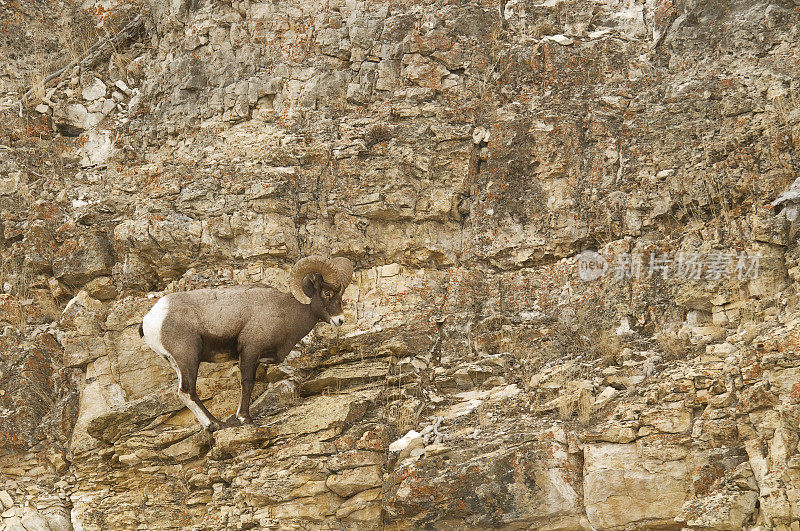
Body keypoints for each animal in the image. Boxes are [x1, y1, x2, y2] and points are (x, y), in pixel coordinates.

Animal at [138, 256, 354, 432]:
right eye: (326, 292)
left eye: (341, 294)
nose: (340, 320)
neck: (285, 311)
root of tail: (150, 319)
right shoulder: (250, 351)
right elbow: (248, 383)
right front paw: (245, 418)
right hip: (188, 358)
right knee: (187, 391)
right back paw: (215, 425)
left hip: (177, 363)